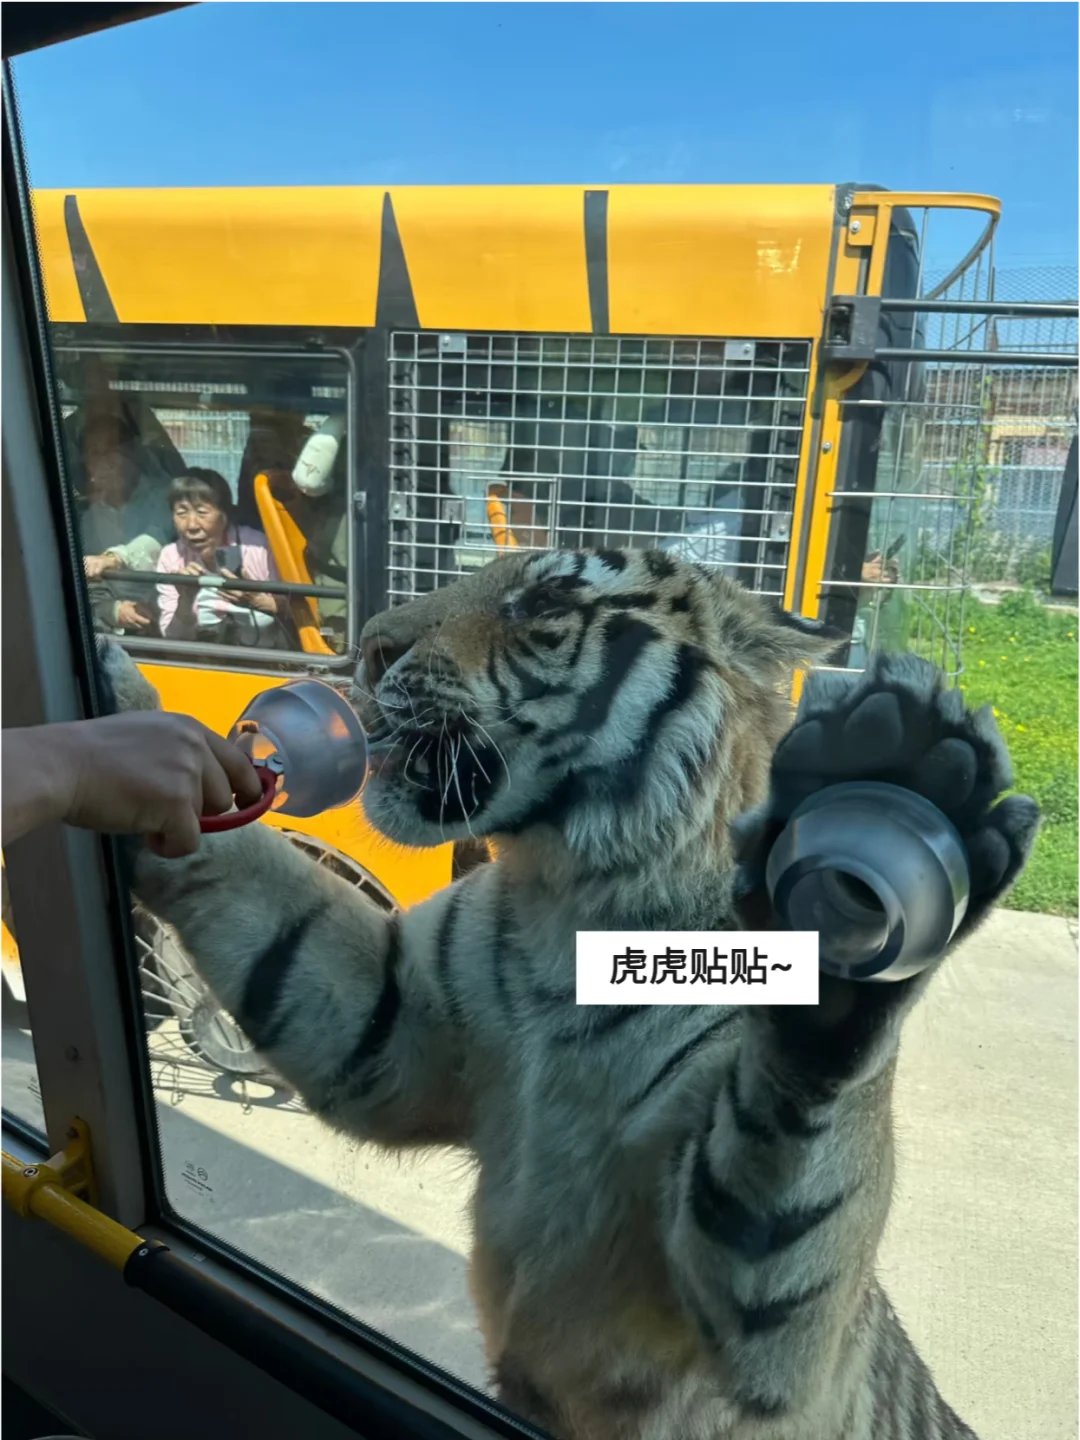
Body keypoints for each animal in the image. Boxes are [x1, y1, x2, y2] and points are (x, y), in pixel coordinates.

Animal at [102, 545, 1039, 1440]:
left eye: (546, 602)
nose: (366, 649)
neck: (573, 901)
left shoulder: (766, 1341)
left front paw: (859, 865)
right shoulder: (388, 1027)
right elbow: (267, 899)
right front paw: (129, 723)